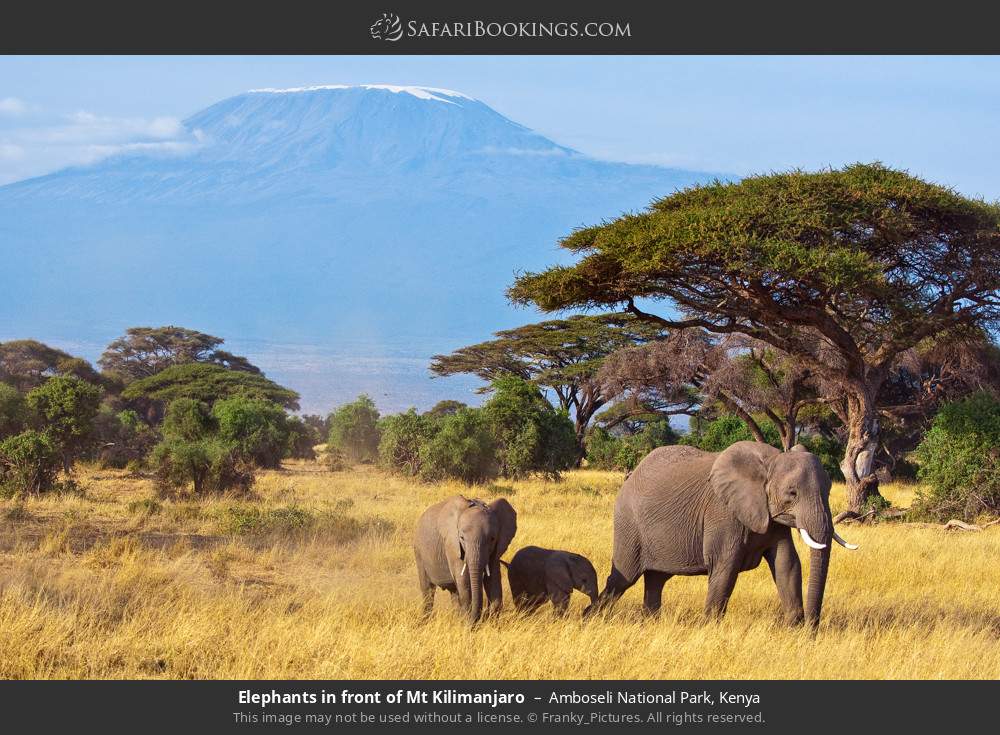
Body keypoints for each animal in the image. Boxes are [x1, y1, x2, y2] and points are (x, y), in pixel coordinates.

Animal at [412, 494, 516, 628]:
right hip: (419, 551)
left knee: (454, 593)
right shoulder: (452, 545)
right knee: (428, 589)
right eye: (461, 537)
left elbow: (493, 579)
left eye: (492, 539)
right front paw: (467, 625)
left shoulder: (496, 549)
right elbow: (464, 582)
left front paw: (491, 624)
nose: (482, 617)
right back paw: (425, 622)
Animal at [584, 440, 860, 628]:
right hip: (629, 524)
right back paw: (589, 618)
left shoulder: (771, 519)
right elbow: (725, 566)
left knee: (656, 580)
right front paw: (709, 628)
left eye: (828, 490)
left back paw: (649, 623)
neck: (770, 460)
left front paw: (794, 629)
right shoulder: (723, 512)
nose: (812, 628)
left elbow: (787, 564)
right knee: (623, 578)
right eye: (792, 493)